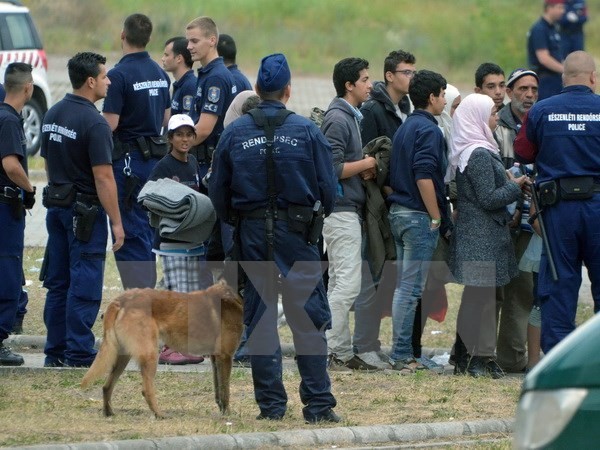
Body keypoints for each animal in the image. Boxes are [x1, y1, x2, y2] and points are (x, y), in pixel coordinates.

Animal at [81, 282, 243, 418]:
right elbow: (225, 390)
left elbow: (218, 389)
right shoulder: (225, 357)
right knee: (146, 390)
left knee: (106, 386)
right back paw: (160, 414)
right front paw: (228, 415)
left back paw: (108, 412)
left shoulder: (216, 359)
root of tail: (121, 300)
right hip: (151, 354)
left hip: (122, 357)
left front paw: (222, 410)